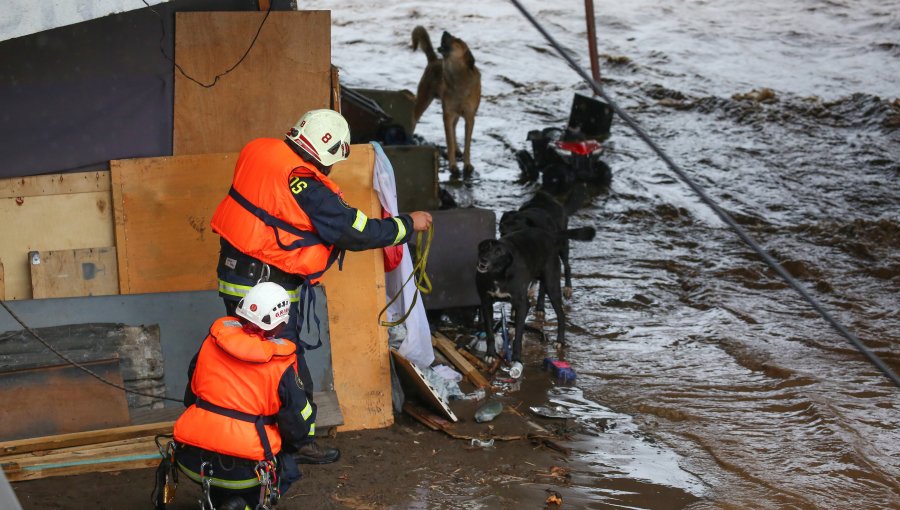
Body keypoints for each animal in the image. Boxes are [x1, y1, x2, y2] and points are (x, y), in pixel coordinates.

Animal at [412, 26, 482, 177]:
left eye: (458, 40)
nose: (445, 32)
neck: (458, 79)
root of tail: (433, 60)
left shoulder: (469, 117)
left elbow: (467, 144)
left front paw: (467, 165)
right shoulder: (448, 115)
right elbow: (449, 141)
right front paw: (453, 166)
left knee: (454, 127)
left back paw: (458, 150)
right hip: (424, 99)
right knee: (414, 118)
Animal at [478, 227, 592, 362]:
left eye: (498, 252)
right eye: (483, 248)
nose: (483, 260)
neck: (498, 275)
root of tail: (549, 235)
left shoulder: (523, 305)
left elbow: (518, 336)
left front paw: (516, 358)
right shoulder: (486, 304)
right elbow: (490, 333)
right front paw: (490, 354)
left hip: (552, 286)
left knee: (561, 315)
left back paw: (560, 341)